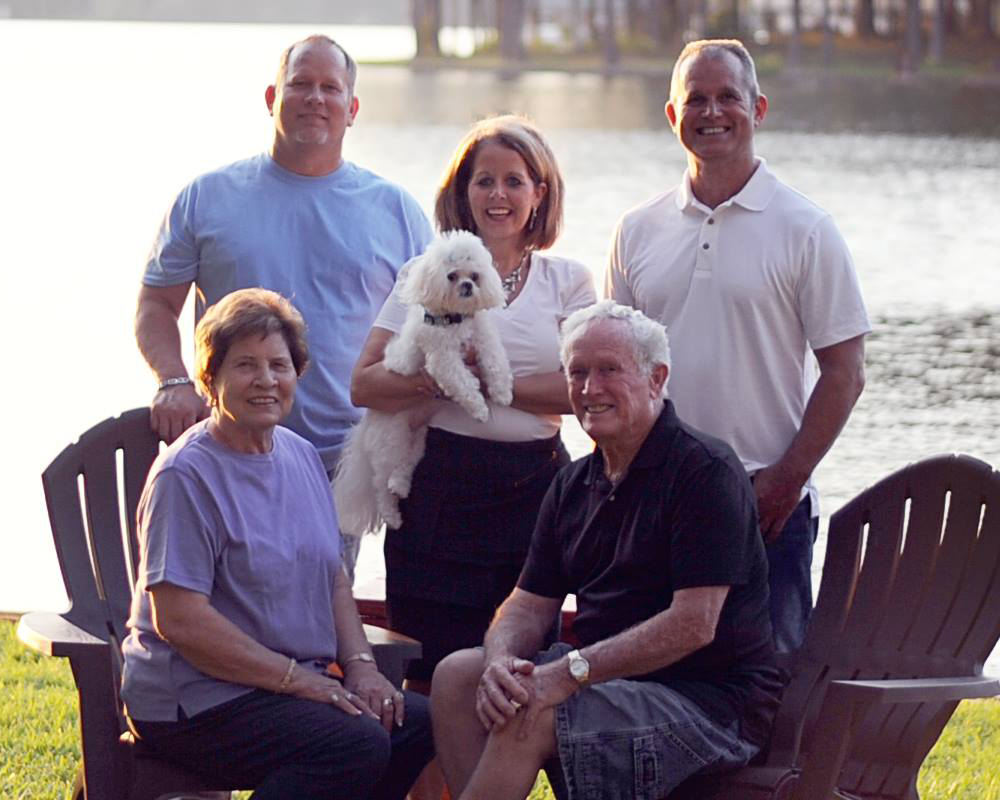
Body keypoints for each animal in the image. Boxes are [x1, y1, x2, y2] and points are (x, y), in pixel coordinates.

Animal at [334, 228, 512, 536]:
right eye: (452, 276)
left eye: (475, 276)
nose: (467, 286)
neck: (455, 318)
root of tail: (366, 426)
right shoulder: (442, 359)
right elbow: (463, 383)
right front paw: (479, 409)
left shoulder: (483, 337)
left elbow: (495, 361)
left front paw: (501, 392)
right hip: (391, 439)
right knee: (380, 483)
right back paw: (392, 514)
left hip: (416, 438)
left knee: (404, 467)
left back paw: (401, 485)